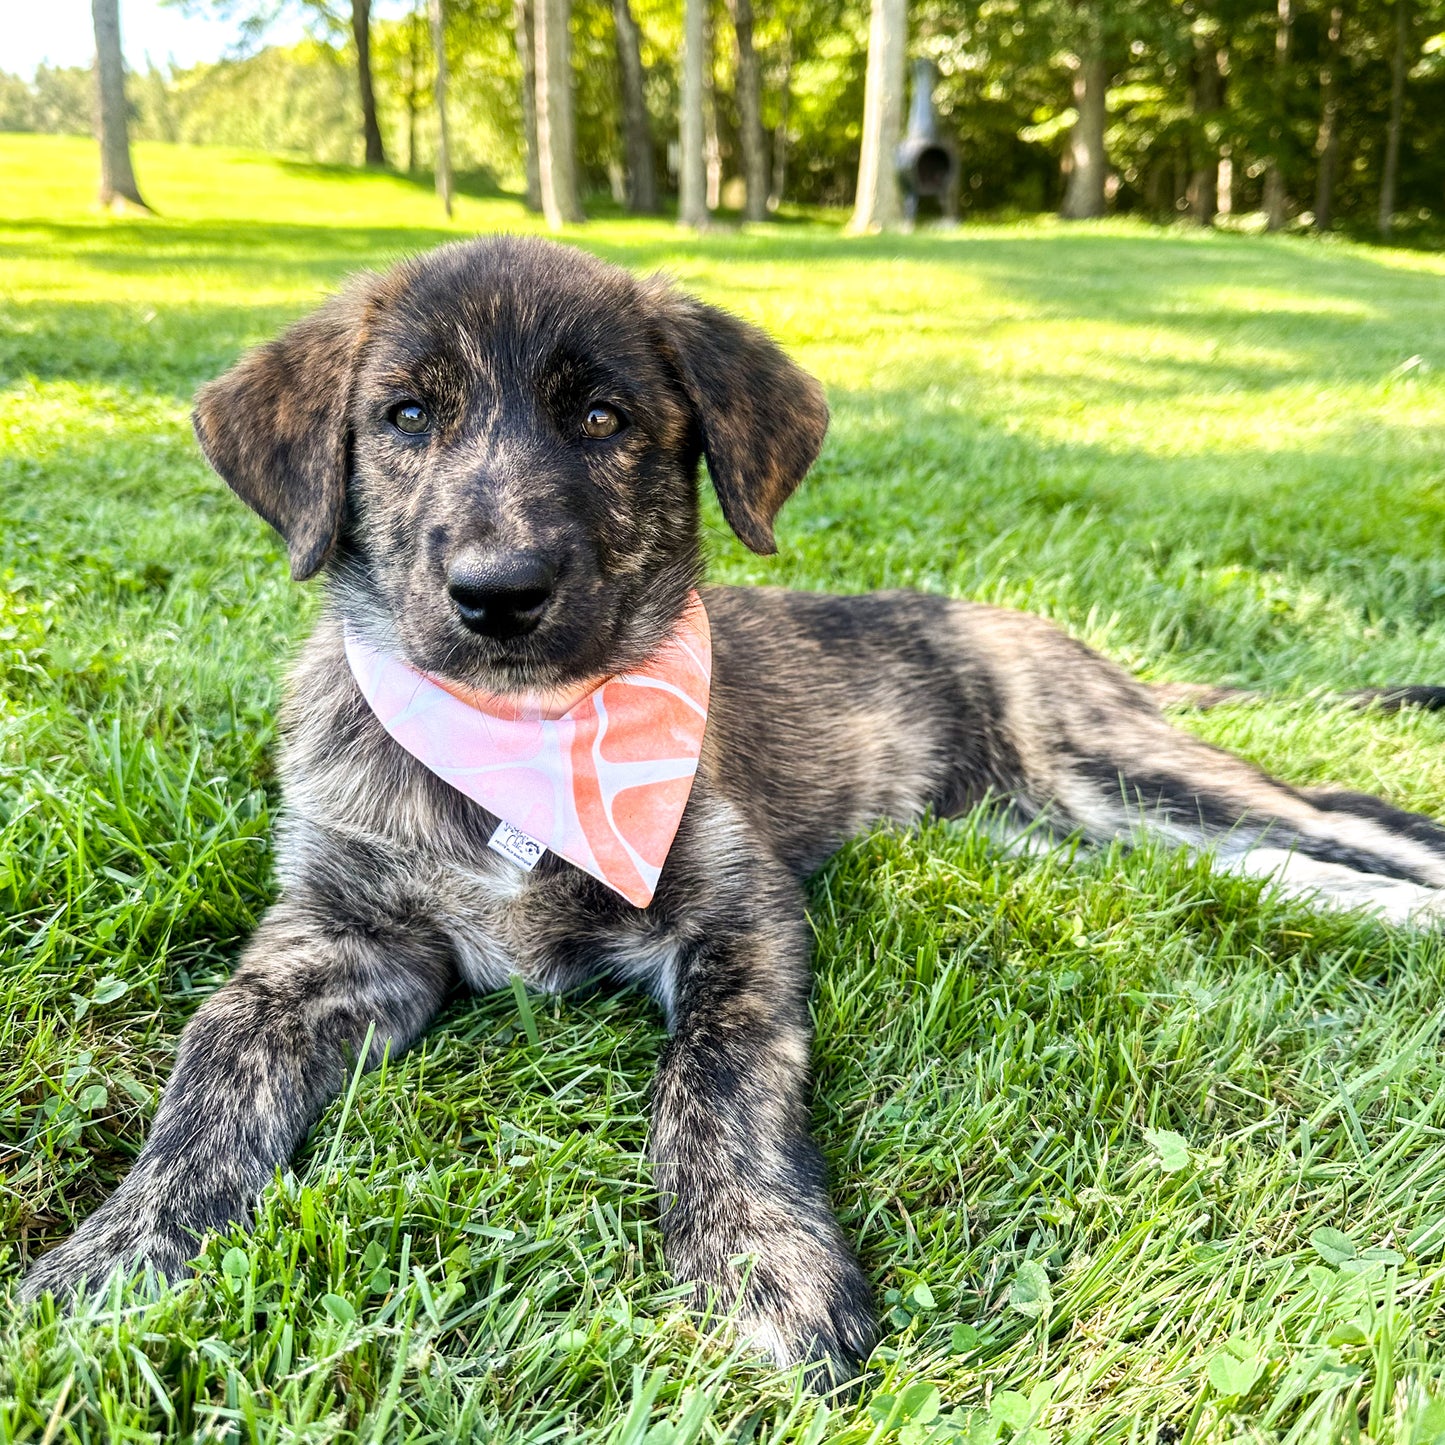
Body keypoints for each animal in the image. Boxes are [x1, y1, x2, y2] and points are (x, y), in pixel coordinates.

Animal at [25, 236, 1445, 1387]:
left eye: (604, 416)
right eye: (405, 415)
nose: (498, 594)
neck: (531, 742)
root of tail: (1061, 636)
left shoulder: (737, 915)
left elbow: (710, 1085)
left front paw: (763, 1267)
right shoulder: (326, 942)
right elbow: (207, 1076)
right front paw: (112, 1255)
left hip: (1105, 760)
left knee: (1335, 809)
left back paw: (1405, 893)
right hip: (1052, 823)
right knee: (1255, 866)